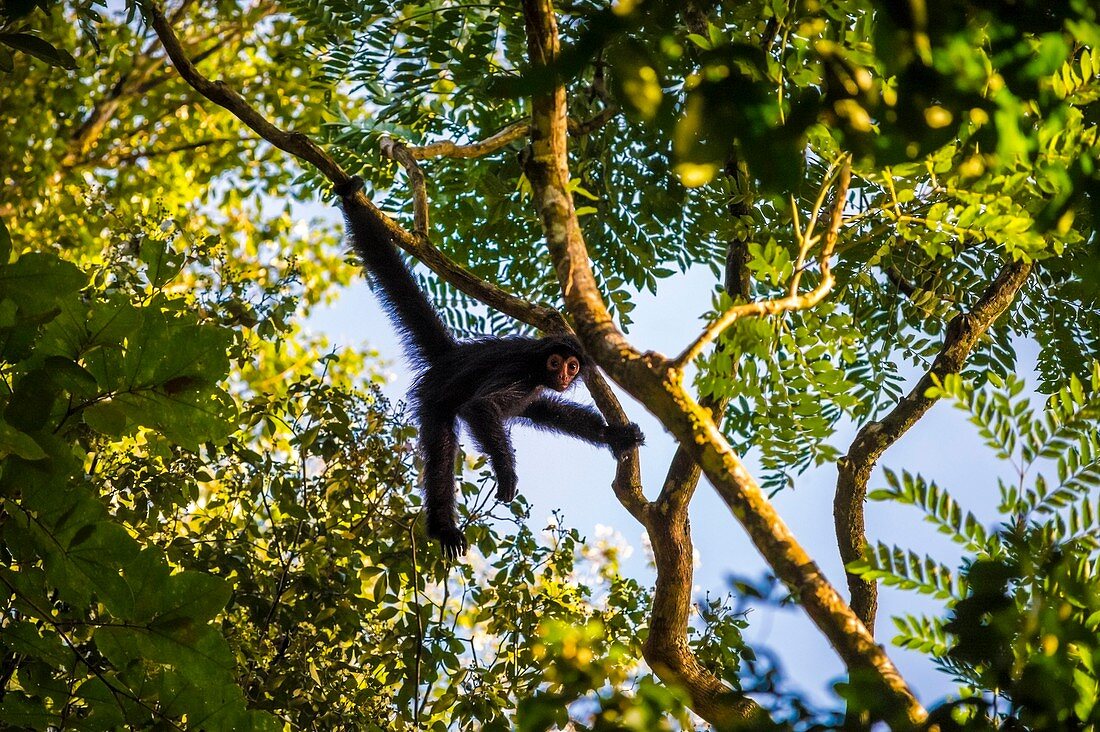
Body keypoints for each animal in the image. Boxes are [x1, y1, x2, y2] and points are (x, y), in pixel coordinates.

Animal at [334, 177, 642, 559]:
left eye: (573, 367)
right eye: (556, 363)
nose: (563, 375)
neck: (536, 365)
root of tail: (452, 357)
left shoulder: (534, 384)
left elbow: (544, 408)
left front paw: (617, 435)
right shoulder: (519, 370)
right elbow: (480, 408)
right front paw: (507, 475)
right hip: (434, 399)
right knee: (443, 447)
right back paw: (443, 526)